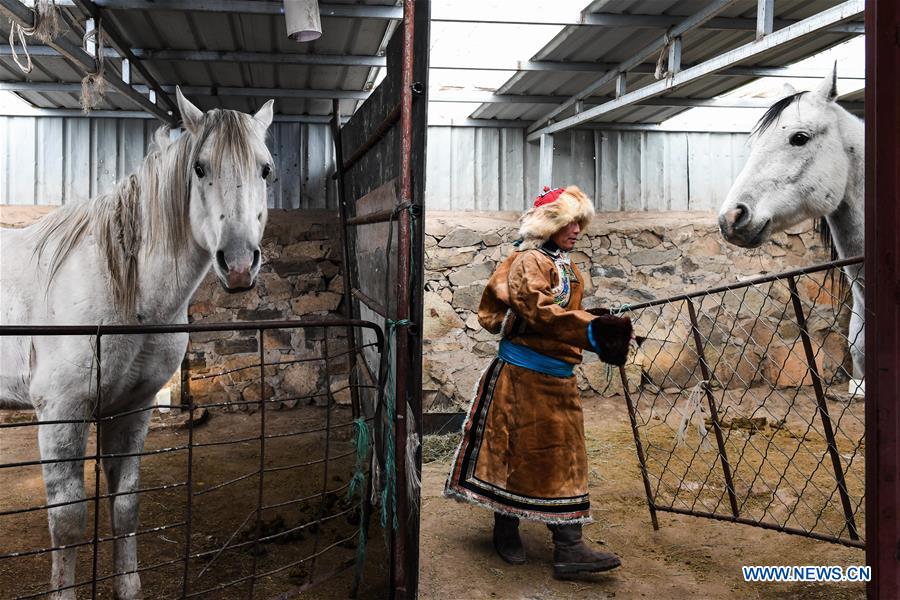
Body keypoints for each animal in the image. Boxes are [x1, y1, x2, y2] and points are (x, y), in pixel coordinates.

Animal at [0, 89, 274, 600]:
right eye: (200, 167)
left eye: (265, 169)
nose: (239, 265)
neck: (124, 288)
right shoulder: (62, 411)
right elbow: (67, 520)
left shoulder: (132, 408)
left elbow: (125, 506)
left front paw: (128, 587)